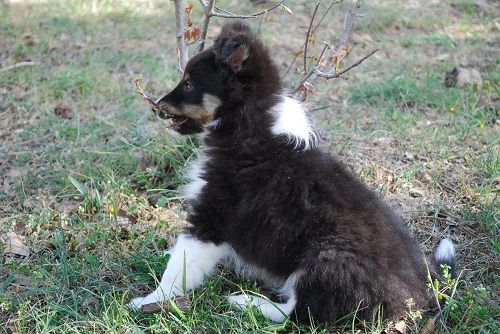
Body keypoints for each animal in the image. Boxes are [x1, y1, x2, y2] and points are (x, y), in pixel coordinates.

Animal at [130, 21, 458, 324]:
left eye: (188, 84)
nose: (155, 107)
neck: (251, 125)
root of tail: (418, 295)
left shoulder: (213, 215)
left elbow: (180, 268)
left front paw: (150, 300)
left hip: (325, 258)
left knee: (300, 312)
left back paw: (247, 302)